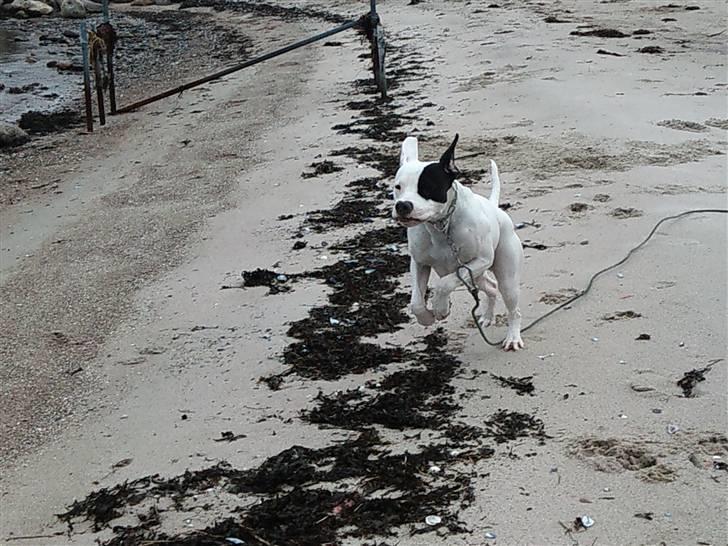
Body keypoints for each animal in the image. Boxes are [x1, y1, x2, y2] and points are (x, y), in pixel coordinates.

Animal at [392, 134, 524, 350]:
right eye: (398, 187)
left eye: (427, 187)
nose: (402, 205)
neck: (441, 226)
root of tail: (495, 208)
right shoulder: (419, 263)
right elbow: (416, 301)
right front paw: (426, 317)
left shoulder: (479, 261)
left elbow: (444, 283)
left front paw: (441, 308)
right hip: (476, 278)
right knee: (491, 287)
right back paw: (487, 316)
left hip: (506, 277)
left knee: (513, 307)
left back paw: (512, 337)